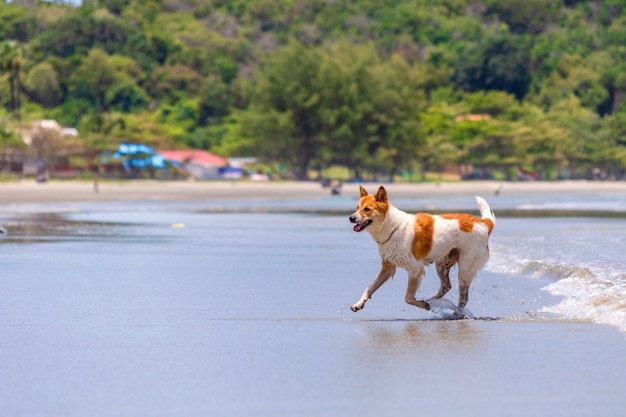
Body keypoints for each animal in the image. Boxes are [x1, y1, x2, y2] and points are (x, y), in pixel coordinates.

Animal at [346, 185, 492, 312]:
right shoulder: (388, 267)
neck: (392, 227)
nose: (351, 218)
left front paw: (421, 304)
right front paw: (359, 303)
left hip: (465, 268)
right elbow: (370, 287)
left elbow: (408, 298)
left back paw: (456, 312)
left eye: (367, 209)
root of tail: (484, 223)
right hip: (443, 264)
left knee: (463, 298)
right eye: (357, 207)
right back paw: (433, 300)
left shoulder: (415, 270)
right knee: (446, 286)